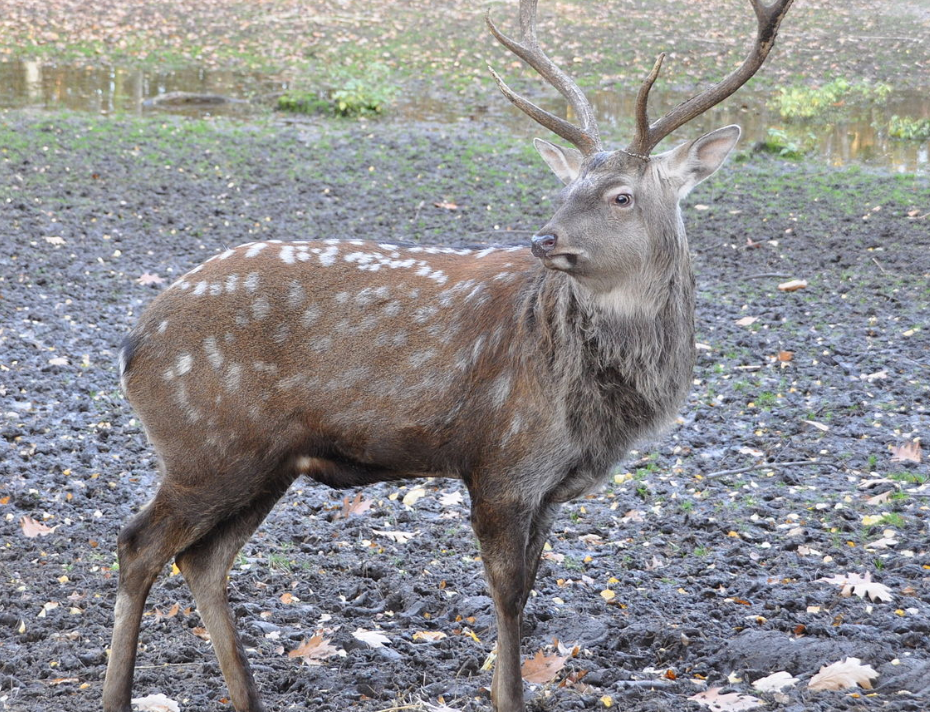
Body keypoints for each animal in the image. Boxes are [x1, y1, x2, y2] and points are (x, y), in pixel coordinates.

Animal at [103, 2, 792, 708]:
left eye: (622, 195)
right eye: (566, 187)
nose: (545, 239)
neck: (591, 409)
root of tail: (134, 344)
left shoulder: (548, 488)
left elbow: (528, 590)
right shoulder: (501, 462)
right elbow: (508, 598)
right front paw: (507, 692)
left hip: (264, 462)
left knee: (201, 559)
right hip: (205, 445)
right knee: (138, 545)